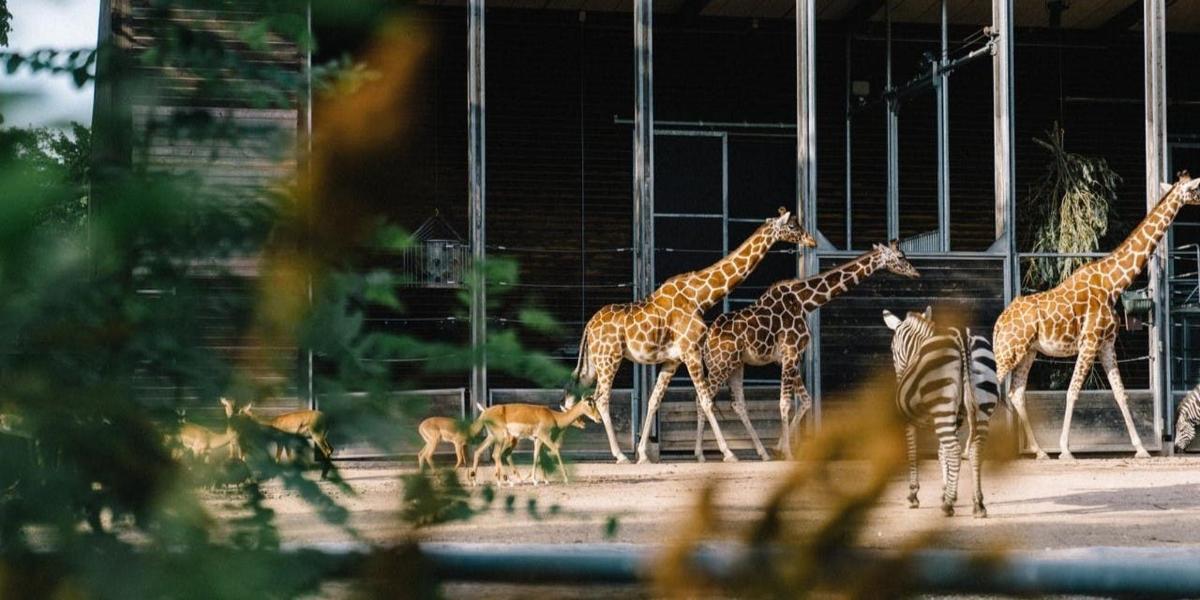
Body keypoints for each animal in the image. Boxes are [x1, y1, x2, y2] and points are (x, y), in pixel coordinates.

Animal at [468, 398, 600, 487]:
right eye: (590, 403)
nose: (598, 418)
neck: (554, 417)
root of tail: (484, 413)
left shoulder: (538, 439)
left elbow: (536, 456)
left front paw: (539, 480)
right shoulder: (544, 436)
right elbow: (555, 451)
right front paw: (566, 479)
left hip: (492, 437)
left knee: (479, 451)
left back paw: (476, 481)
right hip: (503, 438)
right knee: (497, 454)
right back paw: (507, 481)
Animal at [561, 207, 816, 463]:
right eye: (792, 226)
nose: (811, 241)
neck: (699, 297)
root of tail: (589, 325)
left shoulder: (672, 360)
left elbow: (654, 400)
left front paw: (643, 454)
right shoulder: (691, 351)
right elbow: (706, 401)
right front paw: (728, 453)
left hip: (594, 363)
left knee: (574, 394)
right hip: (609, 359)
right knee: (601, 399)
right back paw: (620, 455)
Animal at [696, 238, 916, 458]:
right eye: (900, 256)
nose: (915, 273)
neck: (804, 302)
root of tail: (707, 341)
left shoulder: (789, 357)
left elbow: (806, 400)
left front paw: (779, 448)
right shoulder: (791, 353)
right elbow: (786, 403)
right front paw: (788, 453)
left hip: (736, 365)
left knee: (736, 404)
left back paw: (756, 452)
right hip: (720, 365)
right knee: (704, 399)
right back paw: (722, 453)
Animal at [883, 307, 1003, 518]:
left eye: (893, 348)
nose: (899, 377)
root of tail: (963, 337)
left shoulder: (912, 419)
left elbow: (913, 449)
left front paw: (914, 494)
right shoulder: (956, 416)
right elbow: (941, 451)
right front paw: (947, 490)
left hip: (943, 406)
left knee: (955, 450)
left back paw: (948, 506)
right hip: (981, 408)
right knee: (975, 449)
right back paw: (978, 504)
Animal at [993, 171, 1200, 460]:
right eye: (1196, 190)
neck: (1113, 282)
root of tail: (999, 323)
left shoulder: (1106, 344)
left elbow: (1121, 394)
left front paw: (1141, 449)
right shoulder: (1089, 342)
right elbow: (1072, 392)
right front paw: (1065, 449)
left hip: (1027, 353)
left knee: (1015, 394)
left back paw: (1039, 452)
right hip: (1008, 353)